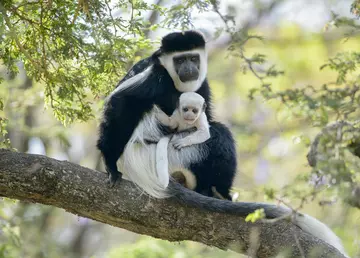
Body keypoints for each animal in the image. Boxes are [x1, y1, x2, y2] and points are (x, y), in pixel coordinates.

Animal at [97, 30, 348, 256]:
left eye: (193, 58)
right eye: (179, 60)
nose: (189, 69)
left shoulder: (202, 85)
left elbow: (205, 115)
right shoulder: (155, 77)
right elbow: (123, 102)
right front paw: (109, 164)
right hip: (171, 154)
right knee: (220, 136)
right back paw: (221, 193)